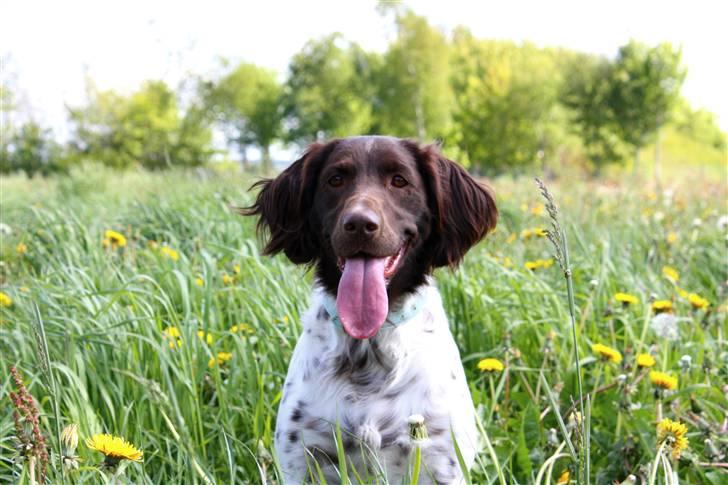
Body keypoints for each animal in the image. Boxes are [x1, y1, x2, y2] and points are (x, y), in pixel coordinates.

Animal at [242, 134, 498, 482]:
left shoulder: (443, 461)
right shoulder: (301, 461)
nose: (360, 223)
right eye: (335, 180)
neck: (370, 351)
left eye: (399, 180)